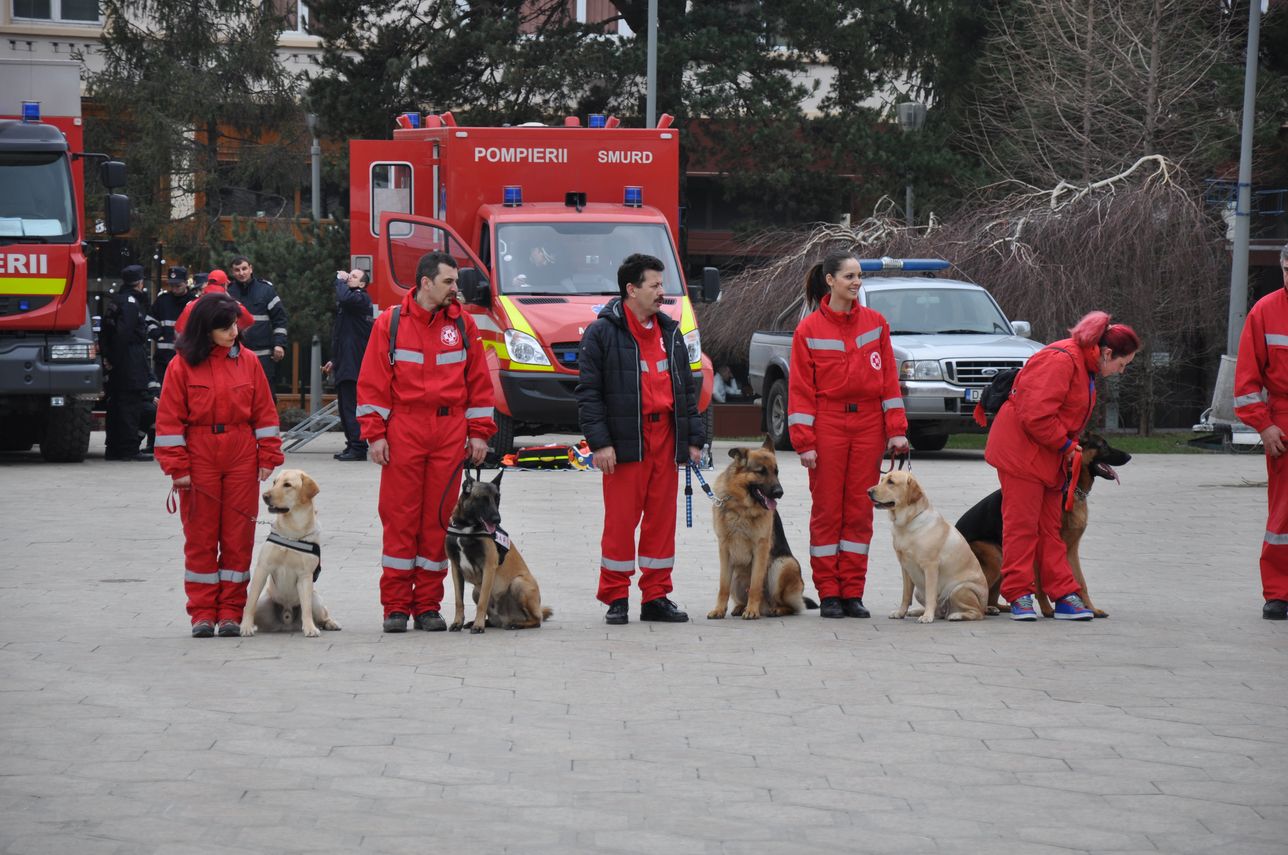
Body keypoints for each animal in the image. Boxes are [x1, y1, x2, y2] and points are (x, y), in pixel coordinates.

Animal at [240, 469, 341, 638]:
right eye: (274, 482)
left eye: (287, 485)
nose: (265, 496)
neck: (292, 531)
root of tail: (287, 619)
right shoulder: (262, 568)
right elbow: (250, 602)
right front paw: (246, 626)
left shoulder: (305, 575)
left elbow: (306, 608)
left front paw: (310, 628)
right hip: (264, 602)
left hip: (316, 599)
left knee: (322, 614)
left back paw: (330, 623)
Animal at [445, 469, 551, 633]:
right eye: (482, 499)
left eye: (497, 499)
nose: (497, 520)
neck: (466, 527)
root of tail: (505, 619)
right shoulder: (456, 568)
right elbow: (459, 601)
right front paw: (458, 623)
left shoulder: (488, 568)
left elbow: (482, 602)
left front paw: (478, 625)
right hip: (475, 591)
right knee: (493, 619)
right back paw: (483, 622)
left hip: (518, 583)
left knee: (536, 620)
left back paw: (516, 624)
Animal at [707, 436, 814, 620]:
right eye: (761, 472)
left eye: (776, 472)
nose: (779, 492)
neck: (741, 507)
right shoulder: (724, 549)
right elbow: (723, 587)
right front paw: (719, 610)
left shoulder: (761, 548)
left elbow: (755, 585)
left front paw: (752, 611)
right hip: (736, 574)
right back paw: (741, 607)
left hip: (783, 565)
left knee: (789, 606)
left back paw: (774, 610)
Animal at [868, 470, 988, 623]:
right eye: (882, 479)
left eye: (891, 482)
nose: (868, 491)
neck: (906, 524)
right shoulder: (905, 567)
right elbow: (905, 596)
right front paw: (901, 613)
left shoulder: (930, 566)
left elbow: (931, 595)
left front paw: (927, 616)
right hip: (919, 592)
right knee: (939, 612)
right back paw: (917, 611)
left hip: (960, 590)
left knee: (977, 613)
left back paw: (956, 615)